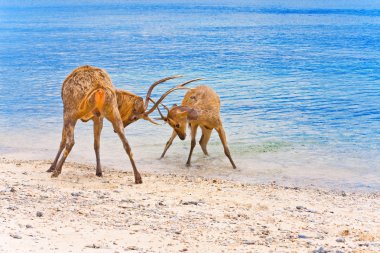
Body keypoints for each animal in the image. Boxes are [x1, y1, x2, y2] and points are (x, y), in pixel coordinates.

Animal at [46, 65, 199, 184]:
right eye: (135, 116)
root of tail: (99, 88)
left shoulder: (70, 111)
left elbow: (62, 141)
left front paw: (51, 167)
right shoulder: (98, 117)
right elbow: (97, 144)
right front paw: (99, 171)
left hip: (71, 111)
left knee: (70, 141)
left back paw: (56, 171)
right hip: (112, 111)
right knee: (127, 144)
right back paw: (138, 177)